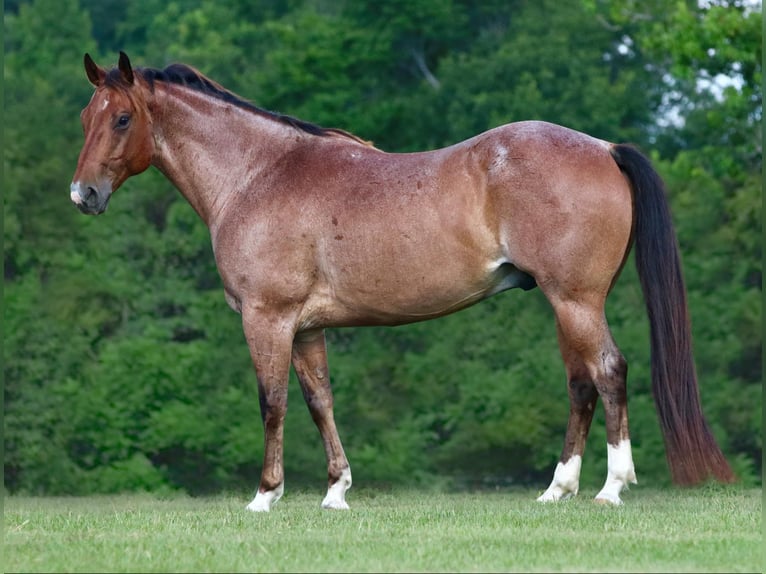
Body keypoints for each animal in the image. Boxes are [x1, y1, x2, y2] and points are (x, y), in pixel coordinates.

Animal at [72, 53, 736, 512]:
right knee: (581, 384)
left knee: (609, 371)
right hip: (566, 305)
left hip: (576, 300)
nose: (84, 195)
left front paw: (265, 495)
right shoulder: (306, 329)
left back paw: (610, 488)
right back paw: (557, 489)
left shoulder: (268, 318)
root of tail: (603, 148)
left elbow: (272, 402)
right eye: (86, 118)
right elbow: (319, 402)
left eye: (123, 118)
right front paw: (336, 491)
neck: (259, 173)